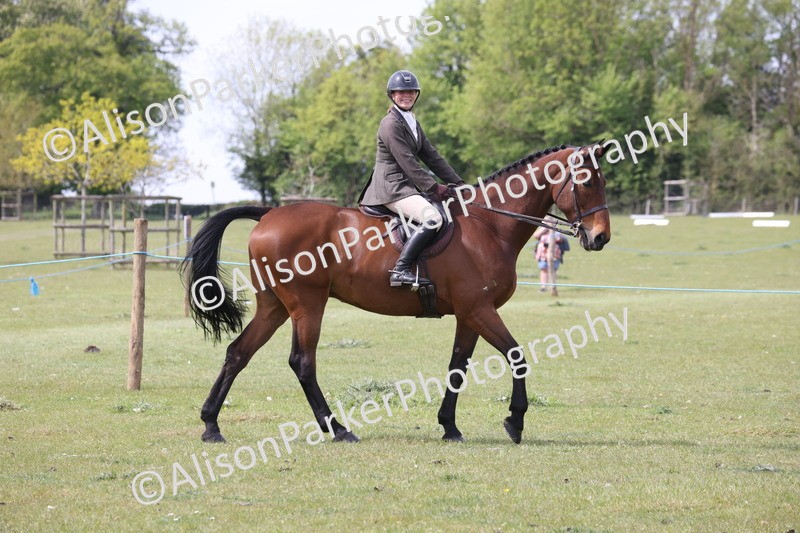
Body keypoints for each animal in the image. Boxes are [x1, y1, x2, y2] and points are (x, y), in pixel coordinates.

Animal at [181, 143, 611, 445]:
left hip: (275, 306)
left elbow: (458, 366)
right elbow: (517, 356)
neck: (489, 225)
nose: (601, 238)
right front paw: (515, 421)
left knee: (238, 353)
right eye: (588, 183)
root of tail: (269, 213)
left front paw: (449, 426)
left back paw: (211, 425)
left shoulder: (469, 314)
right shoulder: (480, 310)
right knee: (302, 362)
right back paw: (338, 429)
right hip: (307, 305)